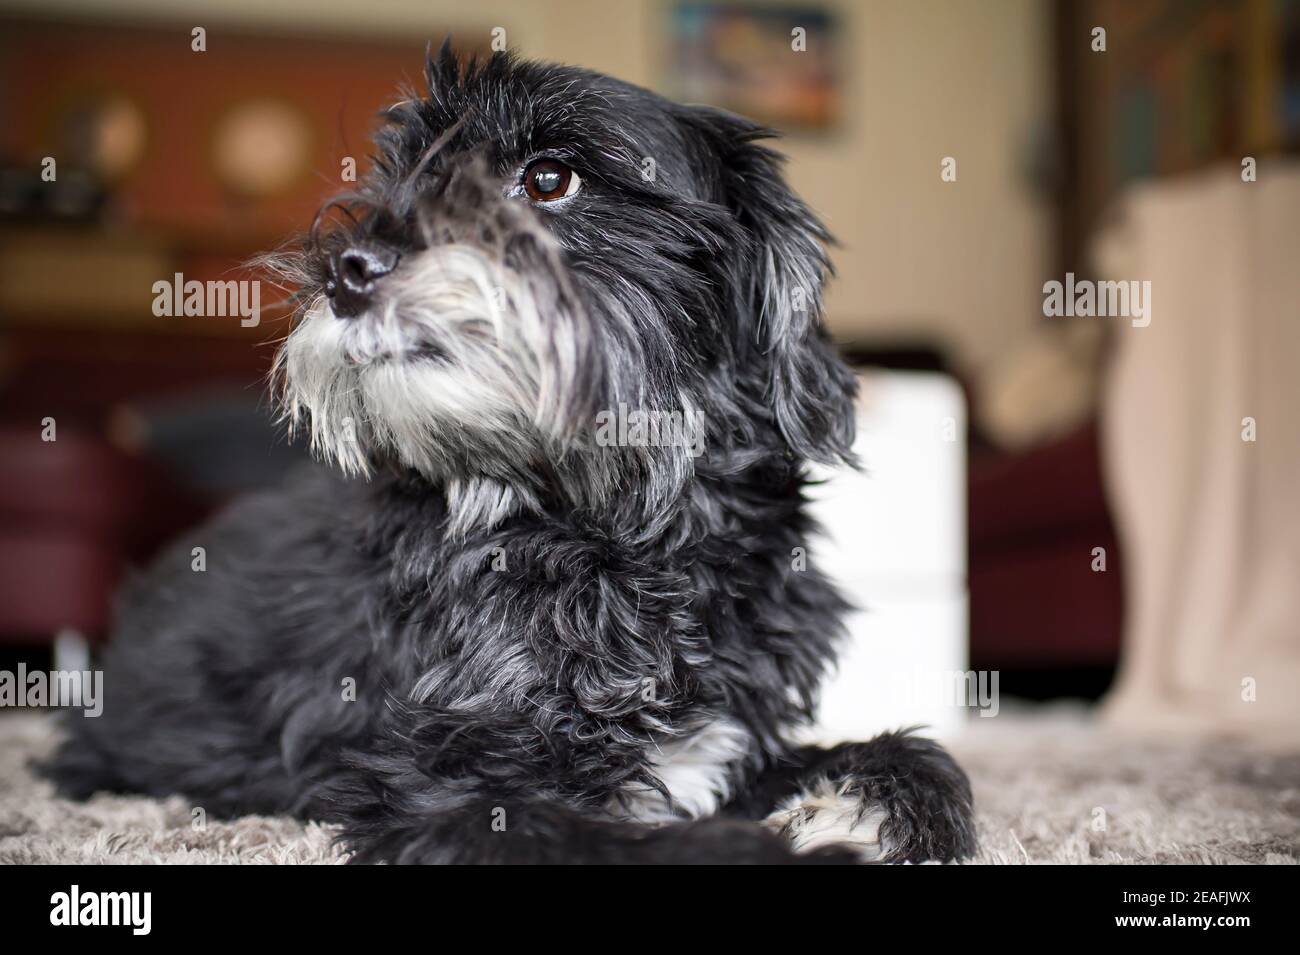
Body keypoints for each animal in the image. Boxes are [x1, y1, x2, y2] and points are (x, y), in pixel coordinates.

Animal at [48, 46, 977, 867]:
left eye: (549, 179)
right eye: (402, 174)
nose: (345, 270)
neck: (627, 539)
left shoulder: (729, 742)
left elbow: (921, 755)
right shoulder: (438, 788)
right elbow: (658, 846)